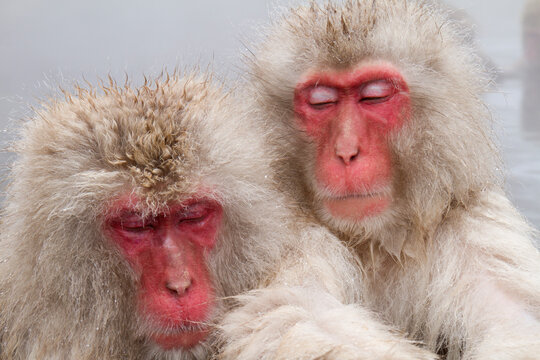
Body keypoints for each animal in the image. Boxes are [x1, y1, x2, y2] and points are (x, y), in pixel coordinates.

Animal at [228, 0, 540, 358]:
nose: (347, 151)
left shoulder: (474, 226)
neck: (374, 242)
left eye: (374, 97)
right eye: (322, 101)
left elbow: (518, 326)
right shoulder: (282, 231)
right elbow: (289, 311)